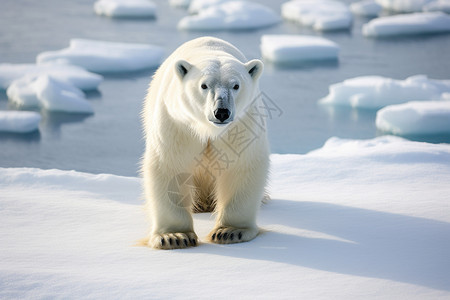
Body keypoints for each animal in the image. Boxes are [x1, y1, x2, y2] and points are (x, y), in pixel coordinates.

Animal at [142, 36, 268, 250]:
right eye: (204, 85)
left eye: (236, 85)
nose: (221, 112)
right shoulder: (178, 123)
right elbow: (169, 166)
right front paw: (174, 236)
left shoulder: (242, 125)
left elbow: (242, 166)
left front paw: (230, 231)